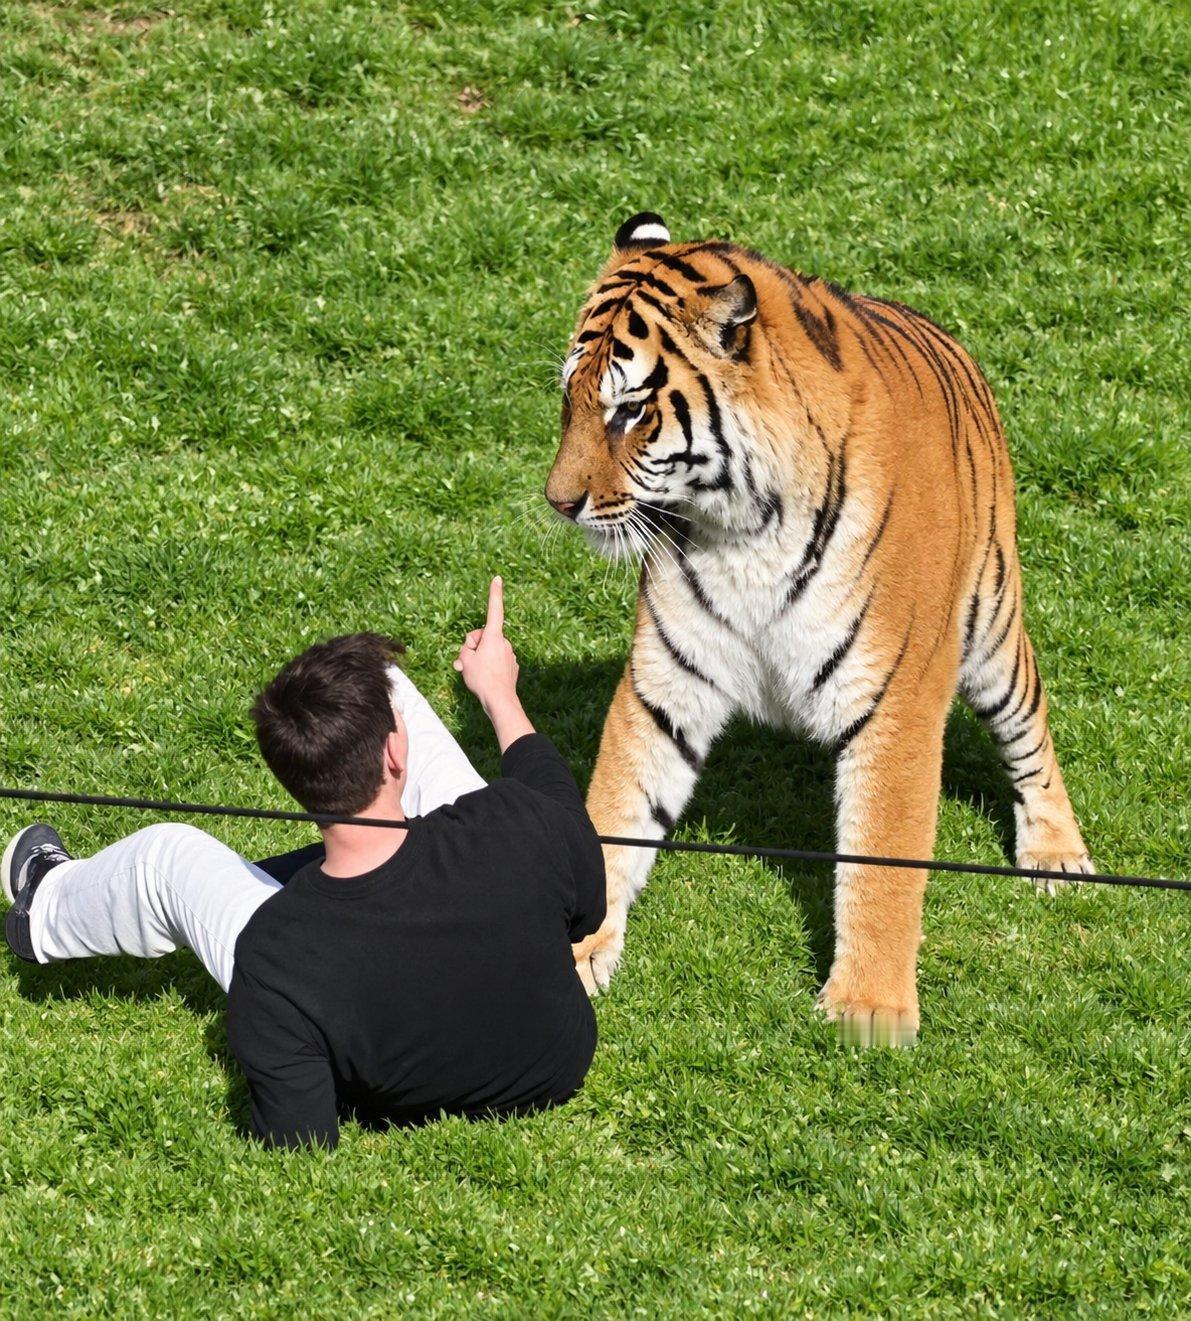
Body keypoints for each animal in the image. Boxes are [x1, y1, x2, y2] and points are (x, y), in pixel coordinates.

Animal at [545, 212, 1093, 1045]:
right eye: (569, 400)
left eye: (630, 411)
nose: (557, 502)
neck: (741, 526)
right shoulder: (664, 683)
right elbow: (615, 809)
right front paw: (573, 954)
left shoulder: (895, 697)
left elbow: (881, 856)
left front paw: (867, 1009)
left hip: (993, 625)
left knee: (1029, 731)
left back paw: (1056, 854)